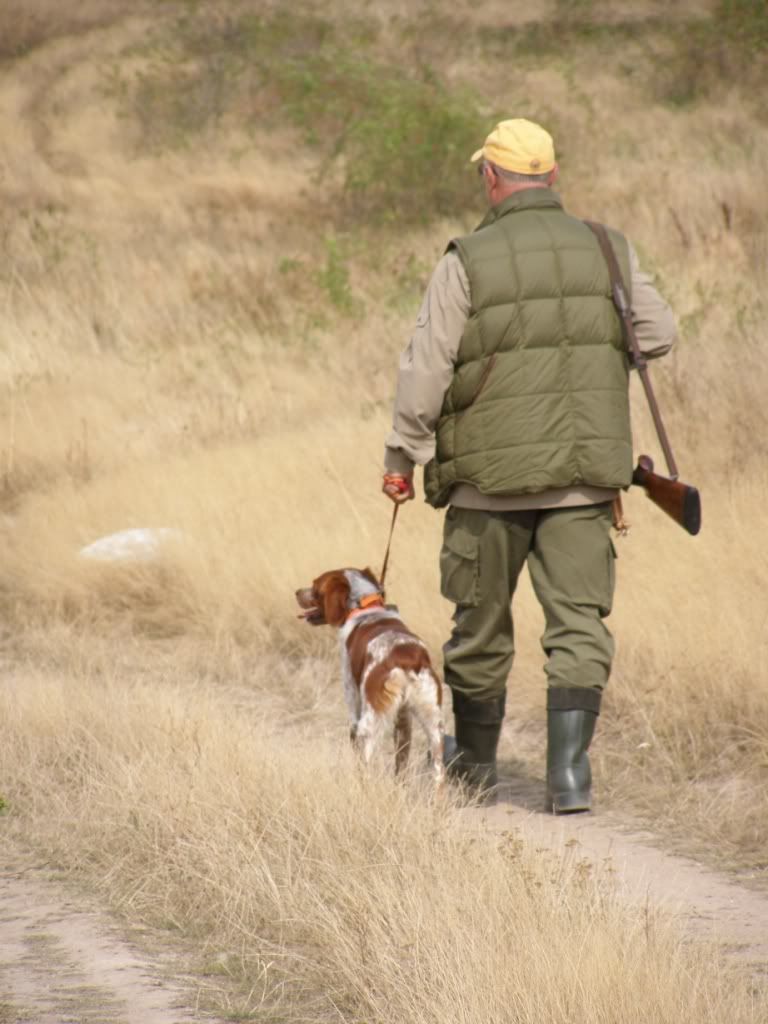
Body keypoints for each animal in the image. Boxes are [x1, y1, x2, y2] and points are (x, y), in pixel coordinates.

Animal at [296, 565, 444, 786]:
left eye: (315, 586)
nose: (297, 592)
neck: (364, 607)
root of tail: (409, 659)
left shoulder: (353, 699)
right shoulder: (404, 718)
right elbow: (401, 761)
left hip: (369, 722)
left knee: (365, 765)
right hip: (434, 724)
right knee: (439, 773)